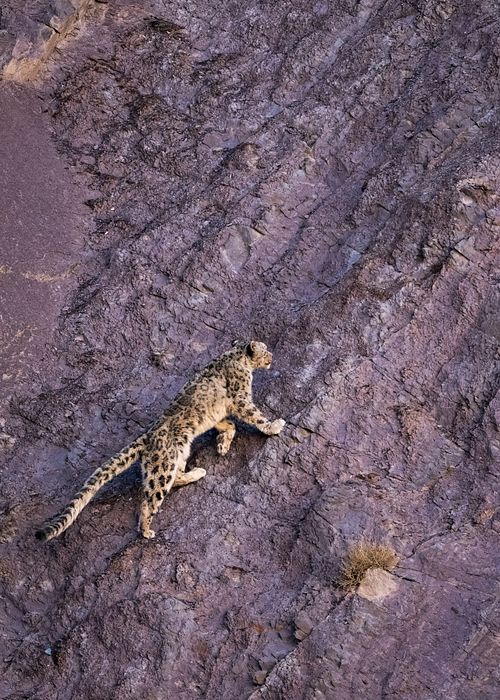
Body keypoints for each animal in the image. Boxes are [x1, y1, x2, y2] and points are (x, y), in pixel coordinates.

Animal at [35, 341, 285, 541]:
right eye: (265, 349)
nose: (273, 357)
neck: (238, 359)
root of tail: (148, 436)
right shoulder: (241, 398)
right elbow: (254, 415)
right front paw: (274, 426)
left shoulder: (218, 414)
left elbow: (228, 424)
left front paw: (223, 445)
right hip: (163, 466)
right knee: (152, 497)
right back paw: (147, 530)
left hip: (180, 452)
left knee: (175, 478)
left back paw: (197, 472)